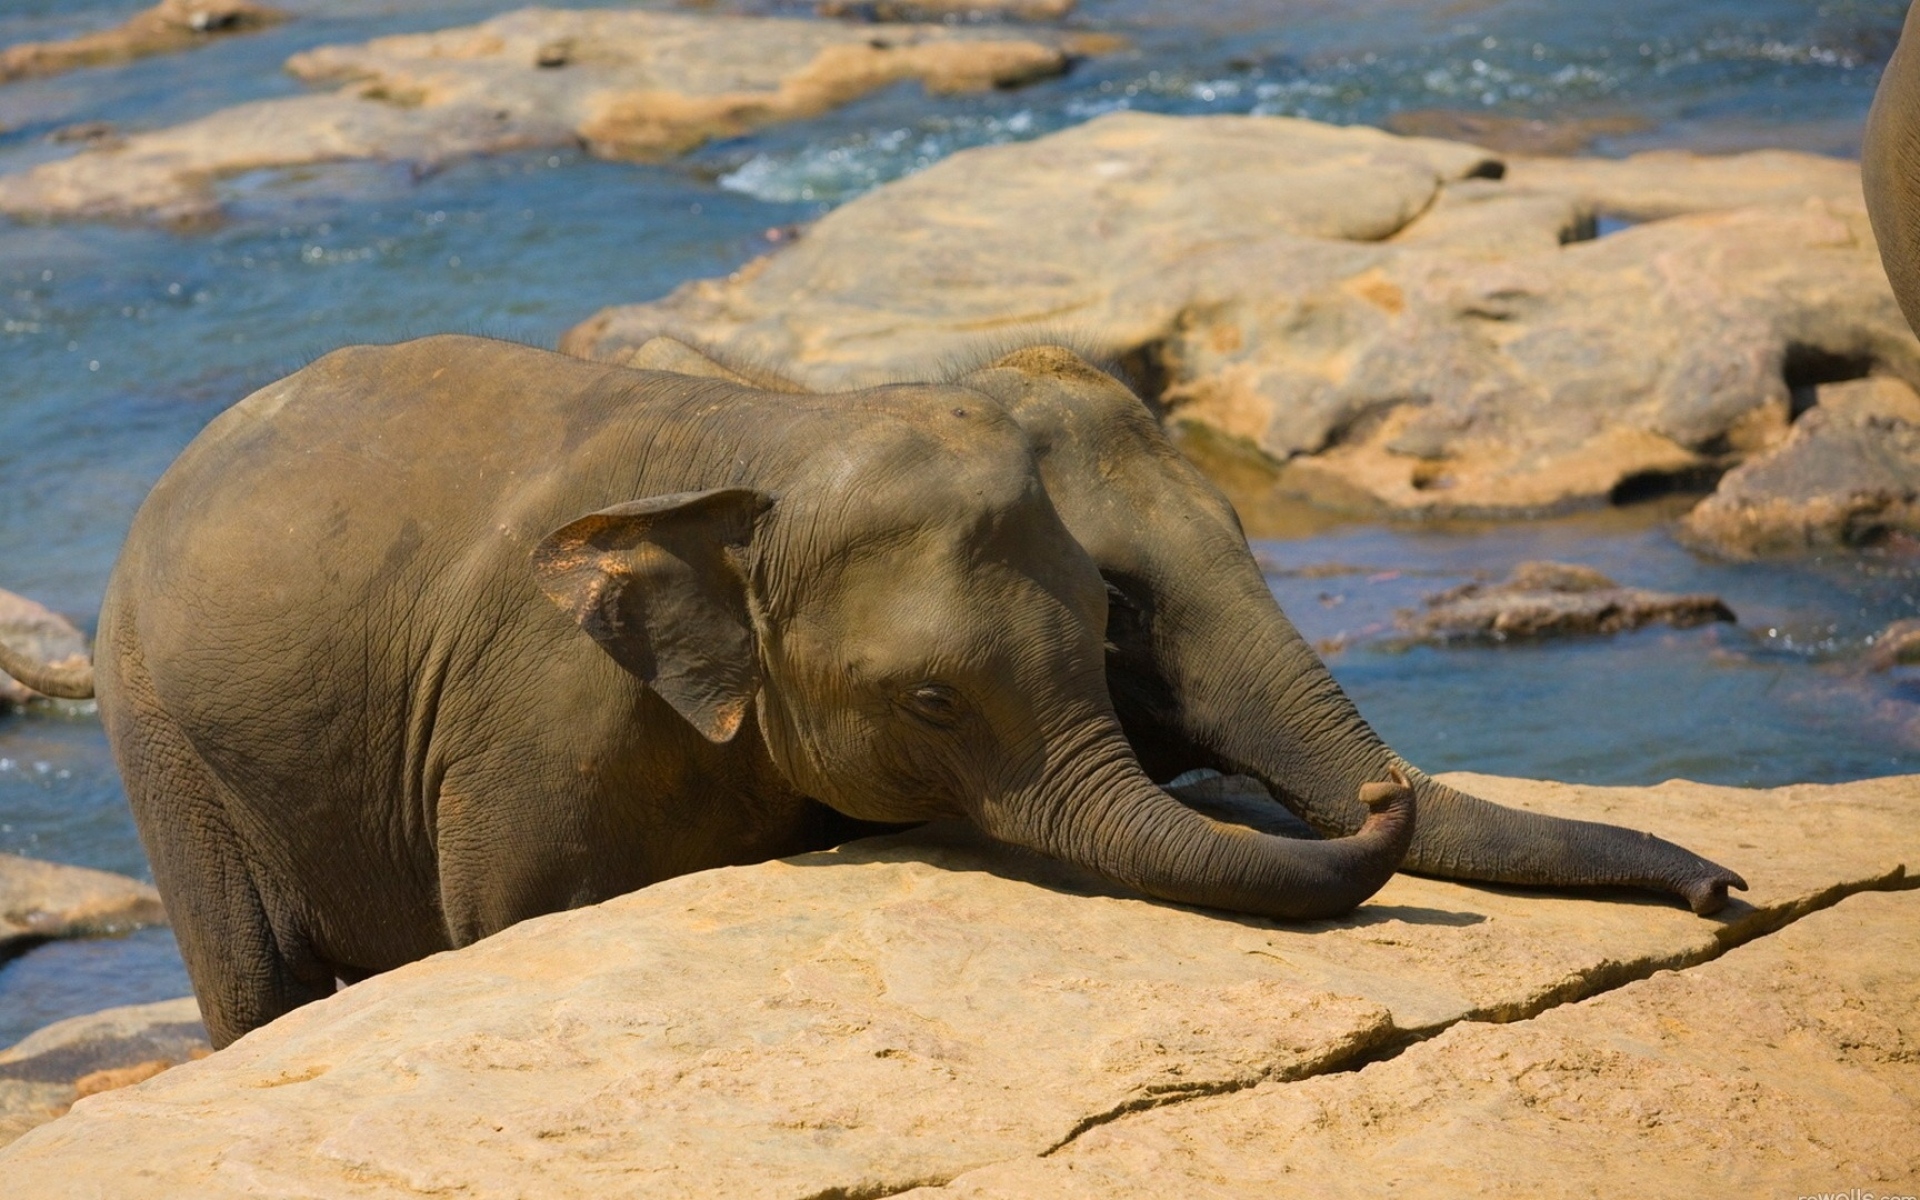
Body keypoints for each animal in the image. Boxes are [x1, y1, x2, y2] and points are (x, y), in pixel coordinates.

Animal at [85, 334, 1416, 1048]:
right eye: (931, 703)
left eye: (1104, 624)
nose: (1381, 795)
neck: (774, 433)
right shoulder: (529, 724)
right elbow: (516, 922)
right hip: (156, 731)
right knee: (254, 982)